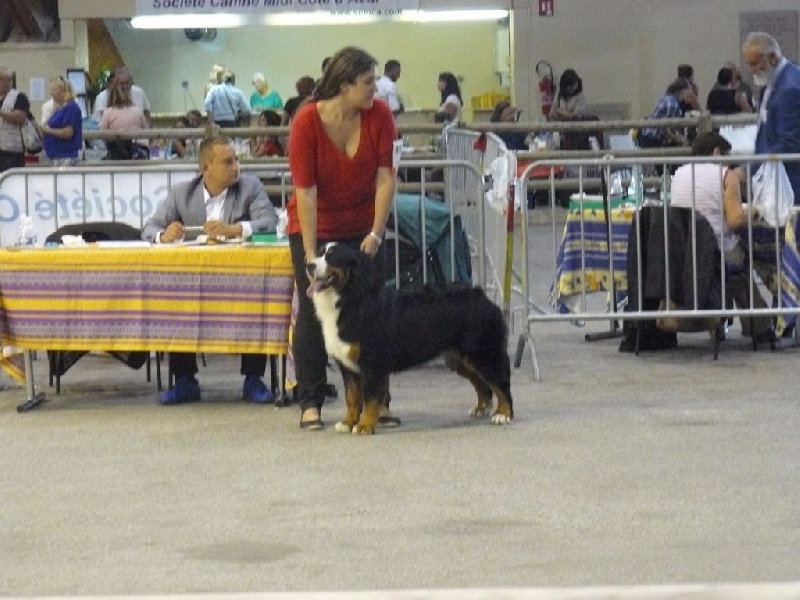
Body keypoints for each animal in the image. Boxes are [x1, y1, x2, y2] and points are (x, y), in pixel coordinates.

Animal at [306, 242, 514, 434]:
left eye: (332, 257)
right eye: (319, 253)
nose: (309, 265)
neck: (349, 300)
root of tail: (482, 295)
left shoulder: (372, 364)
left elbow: (370, 399)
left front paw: (364, 426)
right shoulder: (348, 367)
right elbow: (352, 398)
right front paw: (348, 423)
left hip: (483, 353)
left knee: (501, 383)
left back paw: (503, 414)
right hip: (460, 358)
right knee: (482, 384)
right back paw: (481, 408)